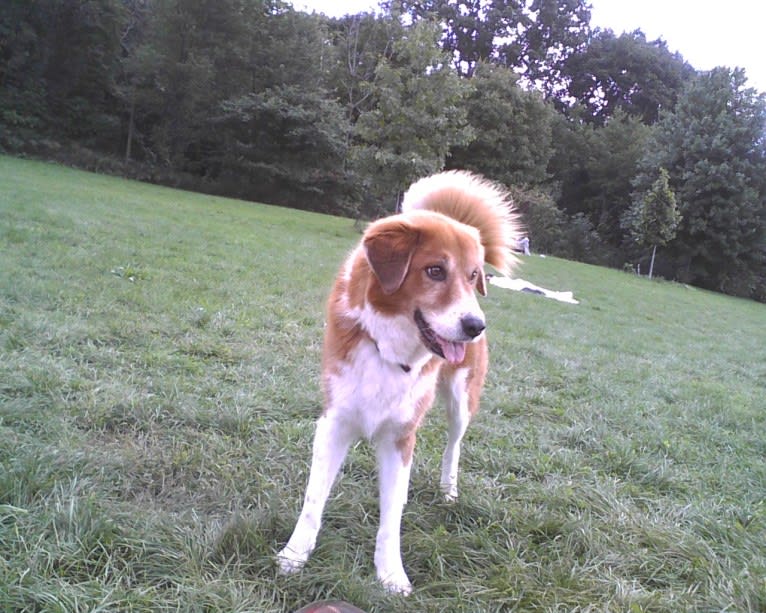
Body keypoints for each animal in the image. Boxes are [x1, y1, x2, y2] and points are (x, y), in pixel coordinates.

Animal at [278, 169, 520, 592]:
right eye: (435, 270)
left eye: (474, 276)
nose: (475, 326)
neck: (389, 344)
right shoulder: (334, 422)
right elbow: (313, 501)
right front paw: (295, 556)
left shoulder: (401, 437)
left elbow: (392, 516)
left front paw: (390, 575)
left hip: (461, 399)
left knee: (453, 446)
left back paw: (448, 490)